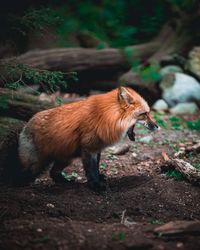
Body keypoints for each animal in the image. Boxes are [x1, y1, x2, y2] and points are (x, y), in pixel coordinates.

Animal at [1, 86, 159, 191]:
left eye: (148, 113)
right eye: (144, 114)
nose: (157, 127)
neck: (106, 117)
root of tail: (24, 127)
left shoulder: (97, 148)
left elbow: (96, 167)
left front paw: (98, 180)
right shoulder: (89, 148)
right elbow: (91, 170)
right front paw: (96, 186)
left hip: (66, 158)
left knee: (53, 173)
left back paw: (67, 182)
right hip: (35, 164)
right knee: (19, 177)